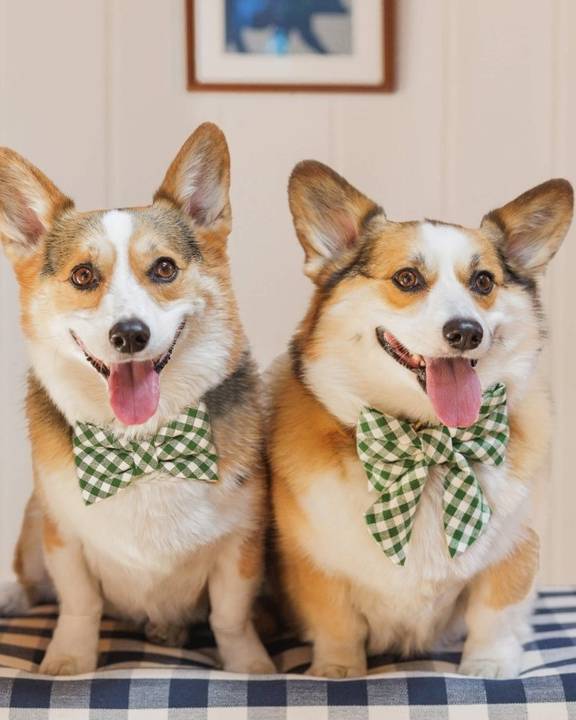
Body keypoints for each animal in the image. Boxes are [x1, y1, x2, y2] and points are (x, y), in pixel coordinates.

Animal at [0, 122, 274, 676]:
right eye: (83, 275)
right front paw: (68, 663)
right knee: (30, 578)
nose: (129, 335)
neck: (143, 444)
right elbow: (79, 605)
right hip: (33, 526)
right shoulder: (63, 536)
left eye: (165, 269)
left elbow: (230, 617)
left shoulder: (242, 543)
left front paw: (250, 666)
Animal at [268, 160, 572, 676]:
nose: (466, 332)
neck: (428, 443)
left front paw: (489, 665)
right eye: (407, 278)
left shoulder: (515, 548)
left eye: (483, 282)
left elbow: (494, 611)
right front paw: (338, 669)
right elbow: (337, 622)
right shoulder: (315, 564)